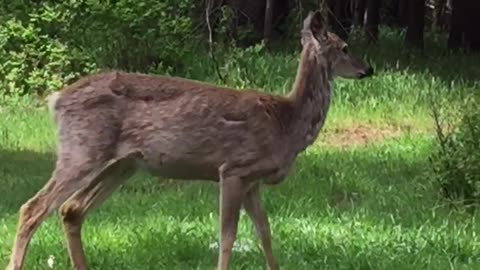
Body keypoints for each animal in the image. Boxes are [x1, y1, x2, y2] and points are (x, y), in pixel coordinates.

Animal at [4, 10, 376, 270]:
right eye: (345, 47)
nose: (367, 69)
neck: (287, 122)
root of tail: (55, 100)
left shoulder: (253, 180)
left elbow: (265, 233)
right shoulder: (234, 168)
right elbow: (227, 236)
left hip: (122, 164)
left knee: (71, 210)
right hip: (82, 149)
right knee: (33, 207)